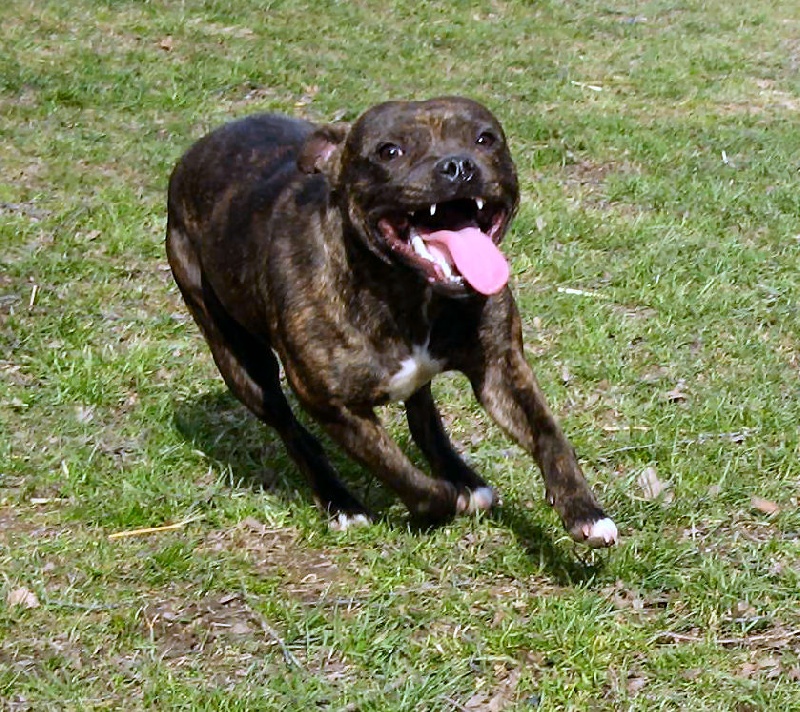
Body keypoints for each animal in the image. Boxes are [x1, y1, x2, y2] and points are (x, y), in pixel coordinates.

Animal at [166, 97, 620, 548]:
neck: (408, 291)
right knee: (292, 431)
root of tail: (200, 147)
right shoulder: (335, 407)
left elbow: (549, 436)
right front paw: (446, 500)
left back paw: (463, 476)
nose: (458, 165)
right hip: (241, 364)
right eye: (390, 151)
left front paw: (583, 511)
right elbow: (404, 476)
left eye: (485, 139)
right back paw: (342, 502)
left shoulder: (501, 368)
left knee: (422, 415)